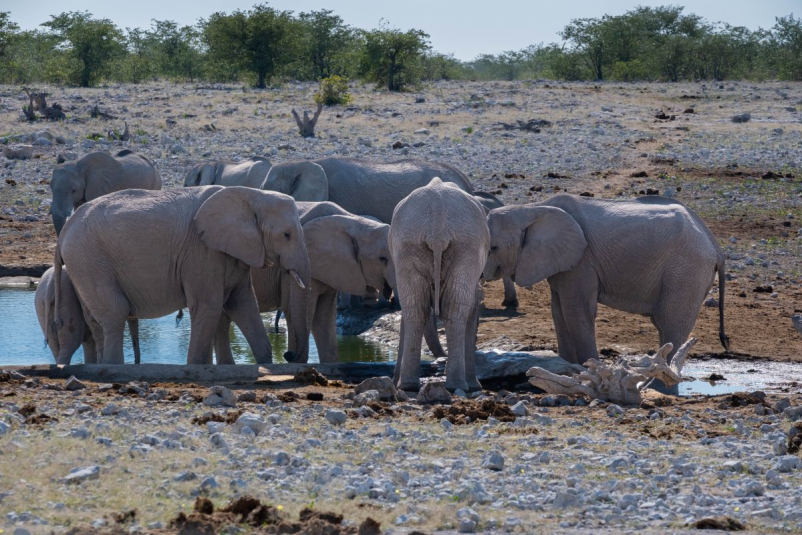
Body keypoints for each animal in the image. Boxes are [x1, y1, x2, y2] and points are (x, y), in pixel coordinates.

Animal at [54, 186, 310, 366]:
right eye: (286, 235)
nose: (288, 355)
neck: (251, 194)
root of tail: (64, 231)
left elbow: (243, 304)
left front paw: (265, 364)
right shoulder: (202, 252)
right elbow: (209, 305)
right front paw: (196, 368)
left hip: (83, 264)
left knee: (95, 320)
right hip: (90, 260)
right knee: (115, 312)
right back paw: (113, 367)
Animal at [388, 178, 488, 392]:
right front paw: (475, 386)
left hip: (410, 243)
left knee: (415, 308)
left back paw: (407, 386)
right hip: (465, 243)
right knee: (455, 310)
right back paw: (458, 385)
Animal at [482, 195, 724, 366]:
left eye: (493, 248)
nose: (482, 275)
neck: (533, 208)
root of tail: (714, 244)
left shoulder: (582, 261)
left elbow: (576, 311)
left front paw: (589, 368)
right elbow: (558, 312)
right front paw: (566, 367)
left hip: (687, 271)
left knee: (670, 325)